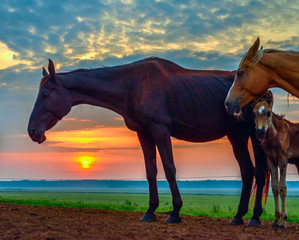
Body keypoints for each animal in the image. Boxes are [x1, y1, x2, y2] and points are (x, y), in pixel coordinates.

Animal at [27, 57, 268, 226]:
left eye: (46, 94)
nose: (32, 131)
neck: (133, 86)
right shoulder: (144, 133)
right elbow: (151, 170)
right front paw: (150, 211)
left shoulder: (160, 130)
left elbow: (169, 168)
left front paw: (175, 212)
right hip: (236, 136)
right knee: (248, 172)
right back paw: (239, 216)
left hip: (253, 135)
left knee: (259, 172)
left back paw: (255, 218)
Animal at [253, 94, 299, 230]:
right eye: (254, 113)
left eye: (268, 113)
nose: (259, 132)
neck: (273, 137)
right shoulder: (271, 160)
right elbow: (274, 187)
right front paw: (276, 221)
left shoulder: (283, 160)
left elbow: (283, 188)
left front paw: (283, 222)